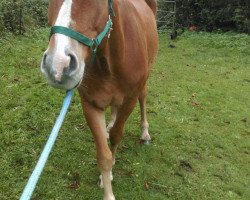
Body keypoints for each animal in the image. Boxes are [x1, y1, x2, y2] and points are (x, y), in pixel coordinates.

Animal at [41, 0, 158, 198]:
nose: (57, 65)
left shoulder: (129, 100)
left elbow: (116, 136)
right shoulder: (91, 104)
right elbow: (103, 155)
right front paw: (107, 178)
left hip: (143, 82)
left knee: (143, 99)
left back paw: (144, 133)